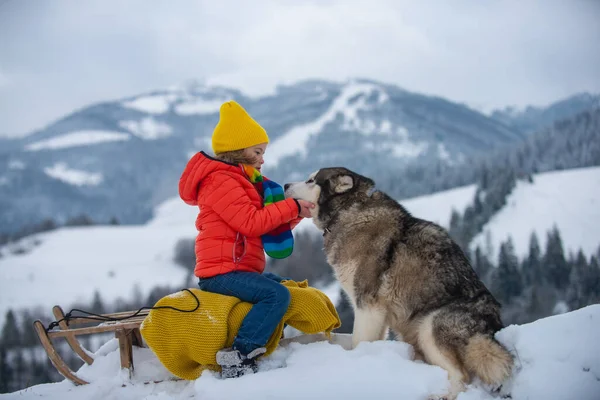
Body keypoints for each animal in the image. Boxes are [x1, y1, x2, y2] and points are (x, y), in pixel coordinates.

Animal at [284, 168, 512, 400]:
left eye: (311, 180)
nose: (285, 185)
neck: (348, 211)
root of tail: (493, 327)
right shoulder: (377, 314)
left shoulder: (367, 304)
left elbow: (358, 342)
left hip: (429, 326)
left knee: (462, 377)